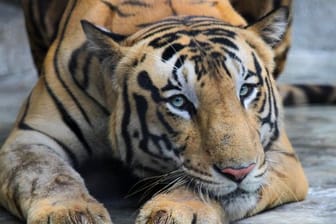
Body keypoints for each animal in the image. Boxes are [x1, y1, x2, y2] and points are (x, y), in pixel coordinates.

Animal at [1, 0, 318, 223]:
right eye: (179, 102)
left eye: (245, 91)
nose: (239, 171)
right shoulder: (30, 138)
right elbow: (47, 174)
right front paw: (69, 212)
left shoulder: (277, 152)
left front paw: (177, 211)